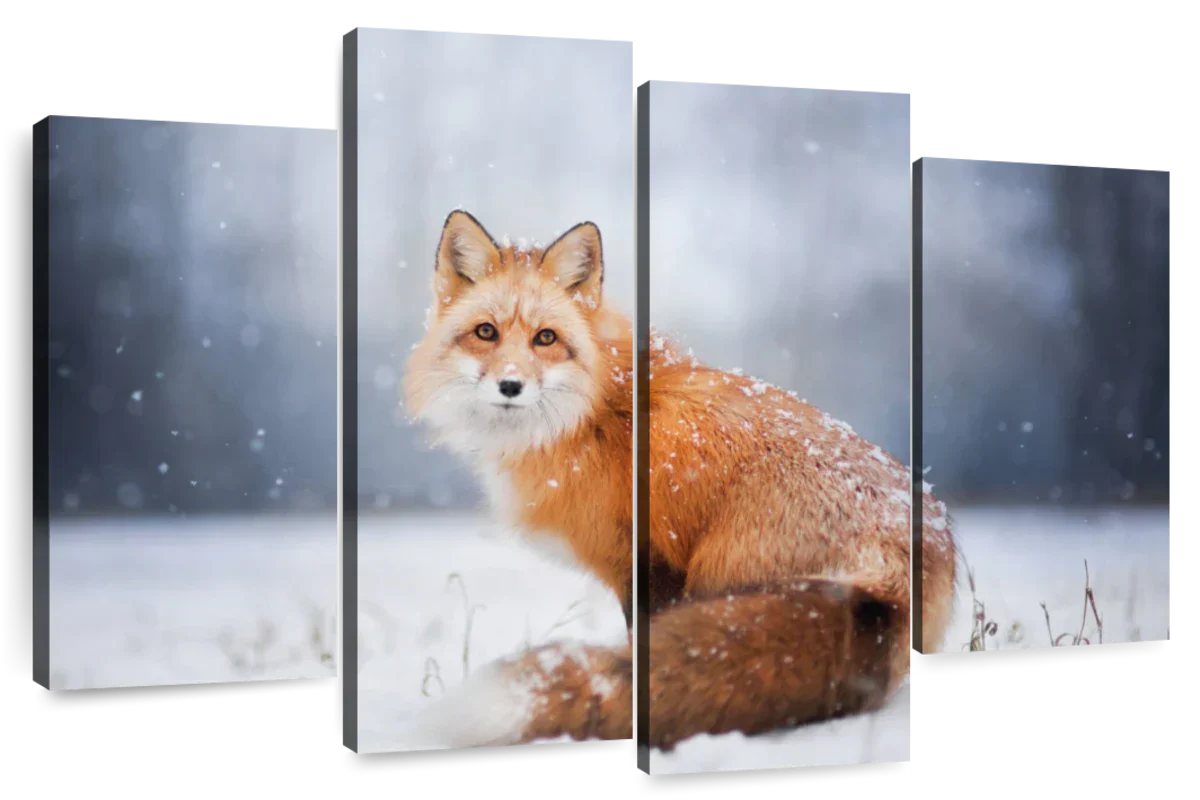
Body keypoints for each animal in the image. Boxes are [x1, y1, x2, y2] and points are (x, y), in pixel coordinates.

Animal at [400, 209, 958, 752]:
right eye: (486, 332)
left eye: (546, 338)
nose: (511, 385)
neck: (595, 413)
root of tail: (898, 569)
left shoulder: (649, 563)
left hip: (718, 575)